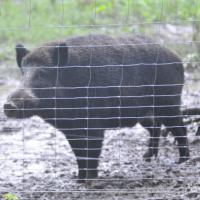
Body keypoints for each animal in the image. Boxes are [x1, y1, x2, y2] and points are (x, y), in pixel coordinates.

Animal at [4, 34, 189, 183]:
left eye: (42, 73)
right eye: (23, 74)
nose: (8, 105)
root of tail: (177, 58)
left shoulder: (94, 125)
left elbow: (91, 151)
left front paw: (89, 180)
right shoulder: (71, 130)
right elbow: (78, 153)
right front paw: (79, 180)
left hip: (169, 102)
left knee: (180, 127)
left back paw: (182, 161)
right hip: (146, 112)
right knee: (155, 126)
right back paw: (147, 158)